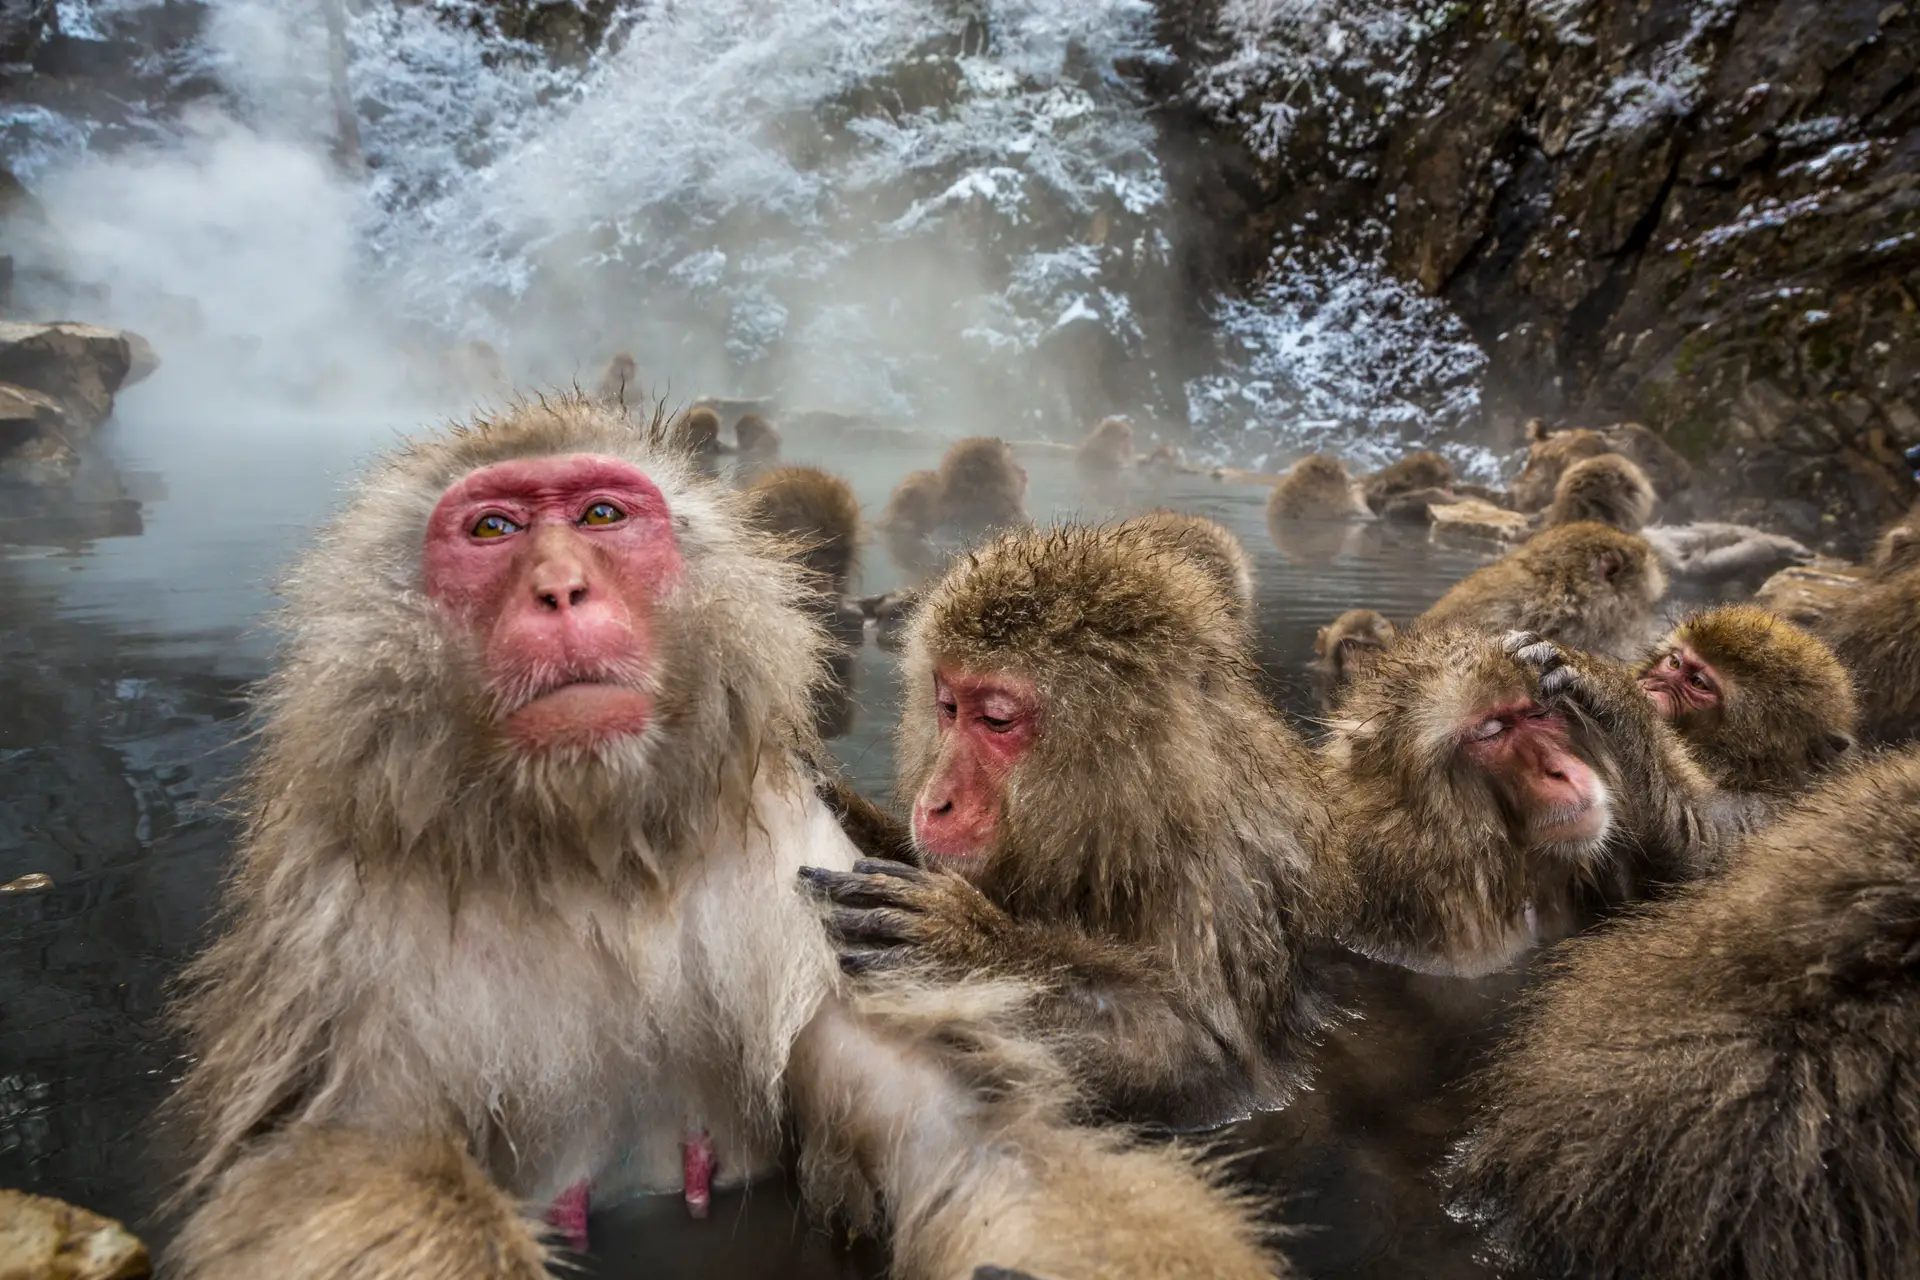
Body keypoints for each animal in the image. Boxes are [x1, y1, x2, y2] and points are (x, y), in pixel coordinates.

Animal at [161, 395, 1274, 1280]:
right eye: (492, 528)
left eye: (602, 515)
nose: (560, 588)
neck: (596, 852)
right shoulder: (342, 925)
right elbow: (343, 1159)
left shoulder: (799, 877)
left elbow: (967, 1131)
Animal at [802, 521, 1344, 1128]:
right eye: (948, 707)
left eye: (996, 720)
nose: (934, 802)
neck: (1138, 818)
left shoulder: (1220, 886)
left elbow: (1209, 1064)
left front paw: (968, 952)